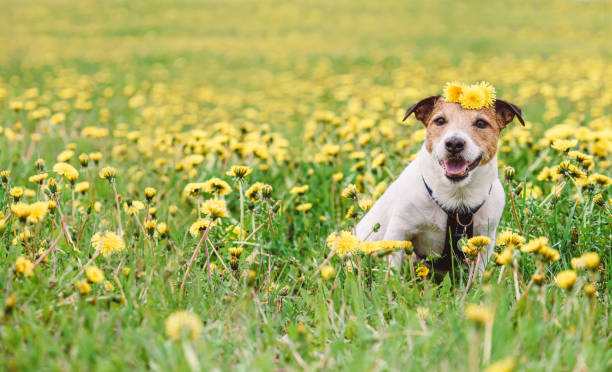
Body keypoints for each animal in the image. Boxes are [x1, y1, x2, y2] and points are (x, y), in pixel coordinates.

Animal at [356, 94, 524, 274]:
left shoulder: (484, 241)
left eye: (481, 123)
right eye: (440, 120)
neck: (457, 197)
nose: (454, 143)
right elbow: (393, 272)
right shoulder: (398, 232)